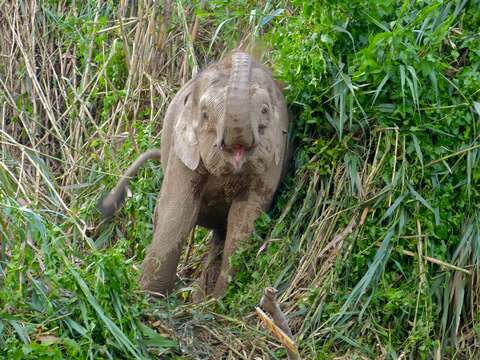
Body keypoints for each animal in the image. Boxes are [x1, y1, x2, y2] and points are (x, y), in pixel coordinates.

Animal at [98, 51, 288, 298]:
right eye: (205, 115)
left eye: (265, 110)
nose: (240, 54)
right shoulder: (182, 152)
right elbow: (178, 210)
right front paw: (148, 298)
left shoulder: (275, 156)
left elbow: (244, 217)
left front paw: (219, 300)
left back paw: (202, 298)